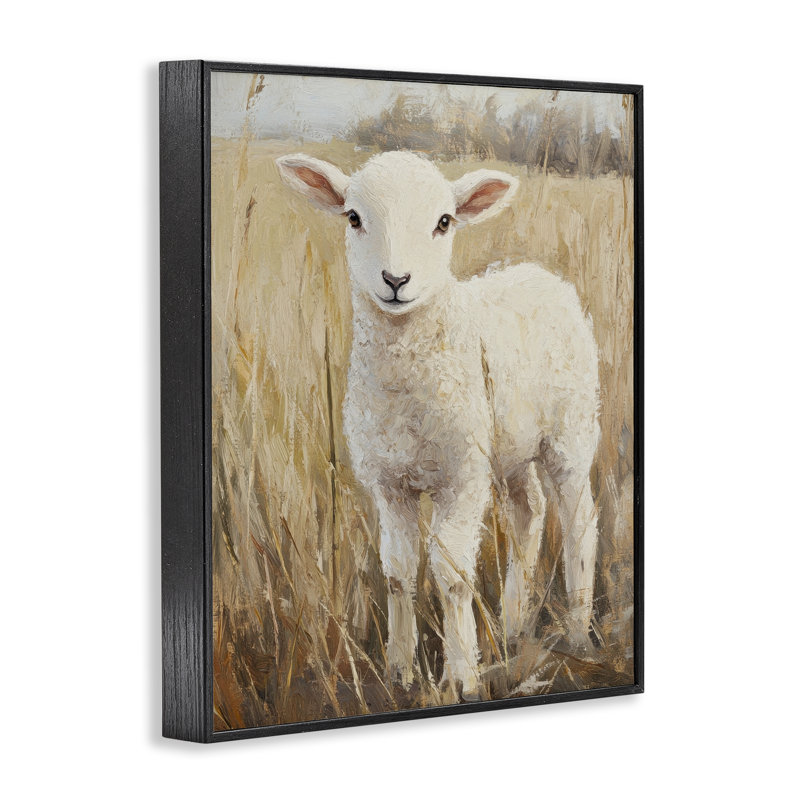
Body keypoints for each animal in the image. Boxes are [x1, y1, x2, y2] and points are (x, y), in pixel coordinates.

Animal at [277, 150, 600, 700]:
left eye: (444, 222)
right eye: (353, 218)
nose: (395, 280)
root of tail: (538, 273)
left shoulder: (461, 476)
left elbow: (451, 574)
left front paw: (462, 676)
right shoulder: (390, 484)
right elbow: (398, 573)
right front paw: (399, 672)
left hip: (570, 434)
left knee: (579, 520)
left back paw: (577, 632)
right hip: (508, 449)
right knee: (529, 512)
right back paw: (512, 625)